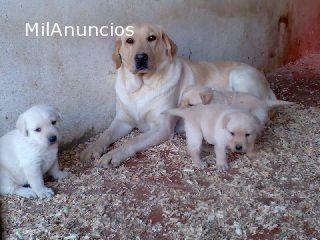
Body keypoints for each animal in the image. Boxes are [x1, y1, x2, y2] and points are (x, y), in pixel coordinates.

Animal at [80, 23, 276, 168]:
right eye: (129, 40)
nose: (141, 57)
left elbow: (132, 141)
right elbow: (105, 134)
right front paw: (92, 149)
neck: (142, 86)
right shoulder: (123, 121)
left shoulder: (162, 128)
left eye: (151, 38)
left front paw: (113, 155)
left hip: (239, 76)